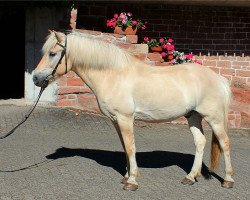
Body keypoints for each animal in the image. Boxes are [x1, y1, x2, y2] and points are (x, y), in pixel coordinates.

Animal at [32, 30, 234, 191]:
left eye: (52, 53)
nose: (35, 78)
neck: (114, 75)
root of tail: (218, 78)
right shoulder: (115, 120)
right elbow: (124, 146)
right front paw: (127, 176)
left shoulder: (125, 118)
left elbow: (130, 147)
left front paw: (132, 181)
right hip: (193, 116)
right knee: (200, 142)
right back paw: (190, 177)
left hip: (214, 118)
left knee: (224, 143)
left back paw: (228, 180)